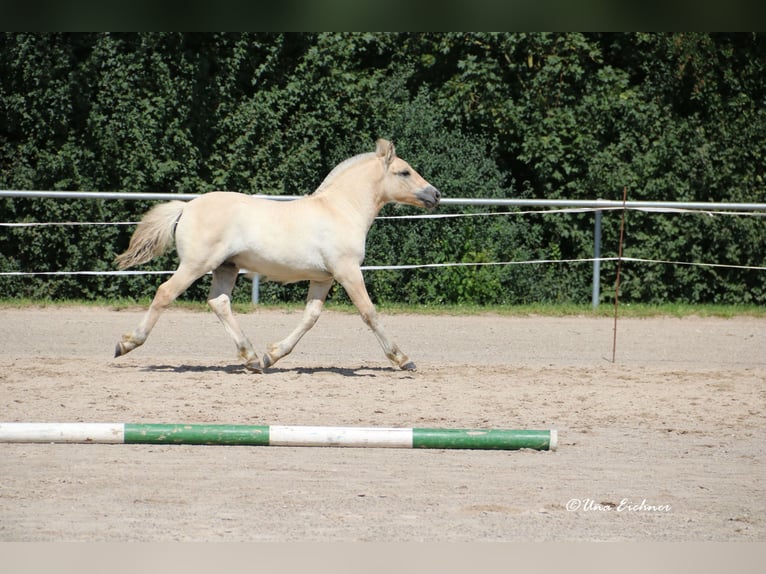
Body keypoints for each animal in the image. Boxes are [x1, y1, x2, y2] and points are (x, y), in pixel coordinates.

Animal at [111, 139, 440, 374]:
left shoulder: (324, 278)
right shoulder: (347, 271)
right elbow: (369, 313)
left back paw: (252, 358)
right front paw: (403, 359)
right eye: (404, 172)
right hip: (195, 265)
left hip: (226, 268)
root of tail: (187, 207)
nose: (435, 195)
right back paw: (126, 344)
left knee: (219, 302)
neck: (341, 210)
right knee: (165, 292)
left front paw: (272, 355)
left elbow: (310, 318)